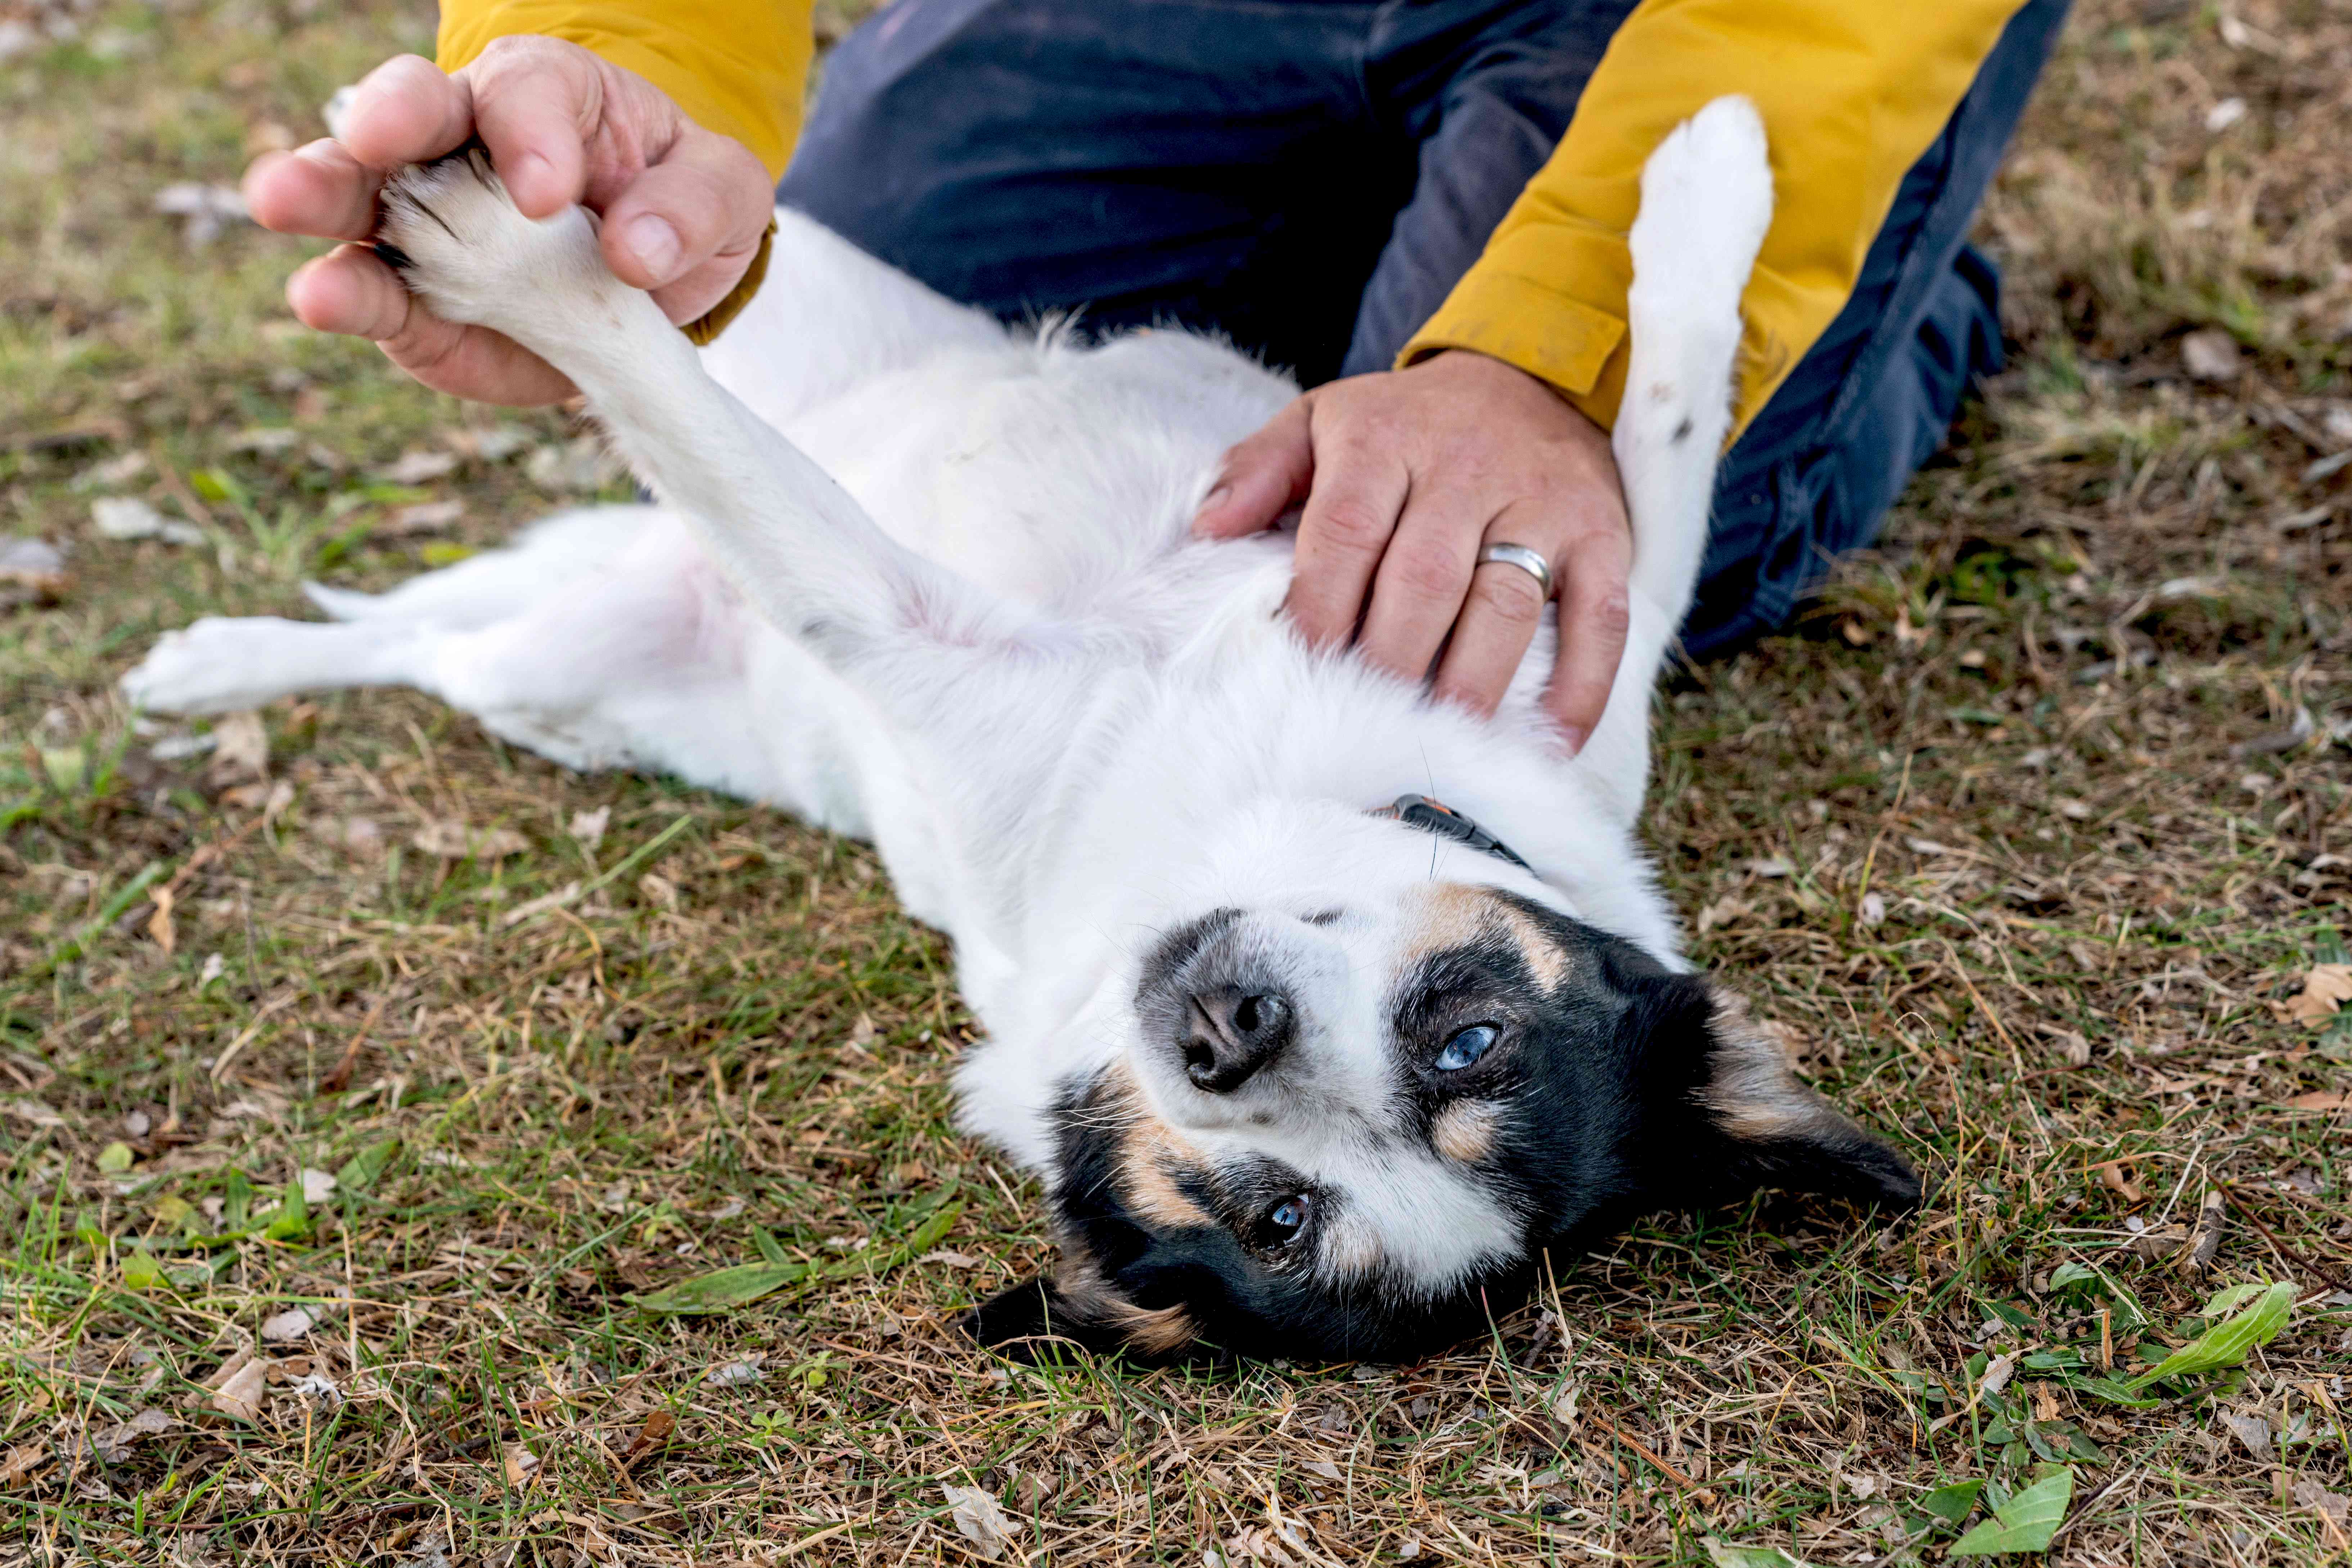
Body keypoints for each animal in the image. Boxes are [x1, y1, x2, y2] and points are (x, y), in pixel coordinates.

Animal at [129, 101, 1919, 1363]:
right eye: (1467, 1040)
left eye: (1281, 1219)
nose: (1227, 1034)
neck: (1233, 792)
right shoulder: (1567, 647)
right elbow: (1657, 442)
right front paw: (1712, 175)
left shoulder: (902, 635)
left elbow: (754, 486)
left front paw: (510, 257)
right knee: (437, 599)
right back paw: (221, 653)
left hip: (561, 671)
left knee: (459, 645)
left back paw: (213, 666)